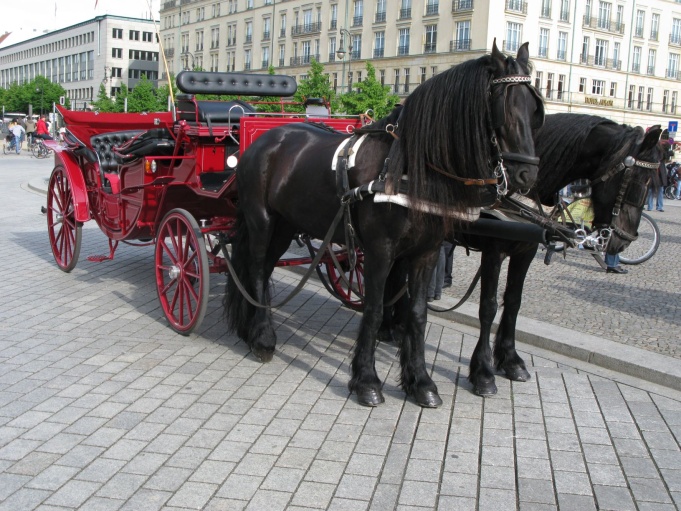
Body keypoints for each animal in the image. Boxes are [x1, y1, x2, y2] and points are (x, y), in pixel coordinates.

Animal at [226, 42, 544, 408]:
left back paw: (251, 329)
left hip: (285, 226)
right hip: (262, 221)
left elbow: (417, 313)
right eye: (506, 107)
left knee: (260, 269)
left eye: (535, 110)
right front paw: (366, 379)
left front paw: (420, 381)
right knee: (257, 269)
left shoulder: (426, 252)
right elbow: (375, 309)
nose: (527, 175)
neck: (406, 168)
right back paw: (263, 338)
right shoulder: (381, 251)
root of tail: (267, 139)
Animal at [460, 115, 660, 396]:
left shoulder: (526, 251)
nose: (623, 240)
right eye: (638, 183)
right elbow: (488, 307)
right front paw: (483, 373)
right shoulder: (493, 252)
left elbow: (513, 302)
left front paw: (511, 361)